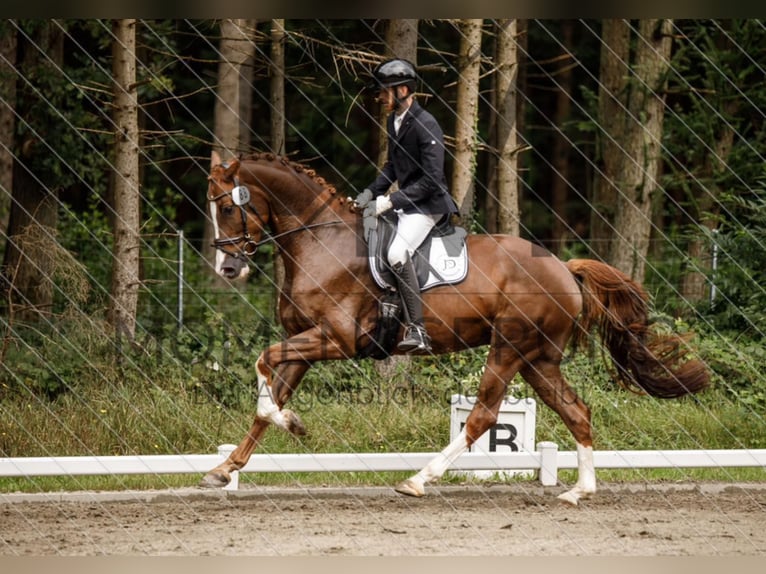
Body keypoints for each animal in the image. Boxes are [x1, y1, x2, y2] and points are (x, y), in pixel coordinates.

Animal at [201, 151, 712, 506]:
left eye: (227, 207)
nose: (227, 268)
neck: (319, 240)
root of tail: (565, 269)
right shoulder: (305, 343)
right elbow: (267, 397)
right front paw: (227, 467)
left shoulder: (336, 339)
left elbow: (263, 363)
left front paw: (291, 424)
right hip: (538, 359)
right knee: (576, 411)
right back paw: (578, 492)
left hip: (509, 348)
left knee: (483, 416)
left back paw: (418, 479)